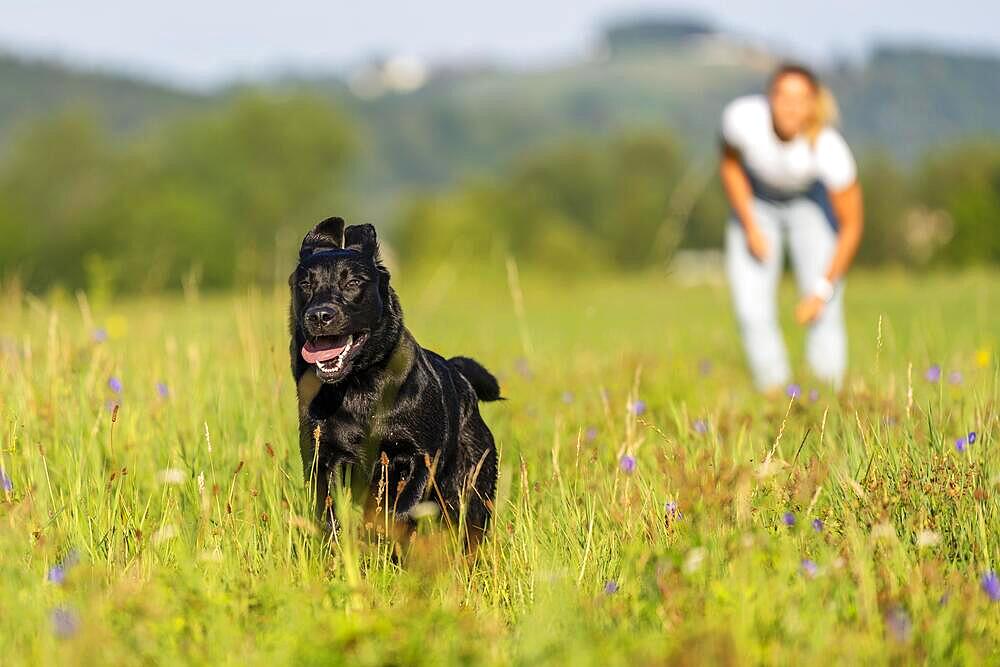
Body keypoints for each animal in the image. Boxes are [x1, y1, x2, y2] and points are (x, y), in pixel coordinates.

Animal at [290, 218, 500, 544]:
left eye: (353, 283)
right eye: (305, 284)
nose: (320, 315)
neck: (358, 387)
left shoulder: (415, 457)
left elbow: (399, 510)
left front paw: (381, 537)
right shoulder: (323, 458)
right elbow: (329, 515)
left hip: (470, 492)